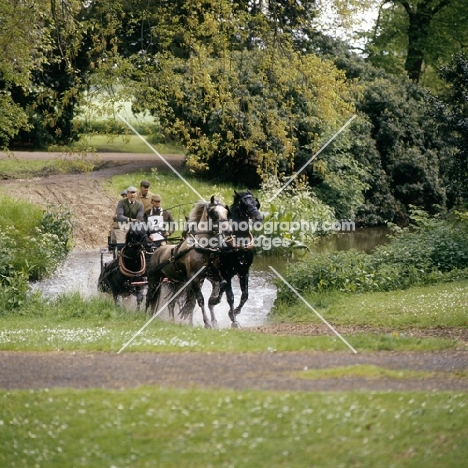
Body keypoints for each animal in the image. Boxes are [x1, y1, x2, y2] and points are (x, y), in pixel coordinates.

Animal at [145, 196, 231, 328]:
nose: (228, 231)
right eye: (214, 213)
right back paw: (143, 314)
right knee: (149, 297)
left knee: (171, 302)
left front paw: (215, 300)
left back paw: (171, 320)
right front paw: (207, 323)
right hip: (154, 279)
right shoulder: (195, 278)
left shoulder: (213, 274)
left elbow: (223, 283)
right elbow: (200, 300)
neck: (204, 248)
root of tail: (157, 251)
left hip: (178, 283)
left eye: (226, 212)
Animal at [206, 188, 264, 328]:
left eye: (256, 203)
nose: (259, 218)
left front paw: (235, 312)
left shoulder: (244, 271)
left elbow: (245, 295)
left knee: (215, 296)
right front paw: (234, 320)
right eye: (244, 204)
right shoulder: (226, 273)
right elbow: (231, 297)